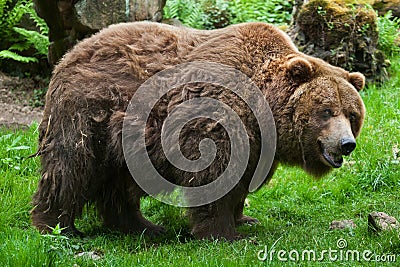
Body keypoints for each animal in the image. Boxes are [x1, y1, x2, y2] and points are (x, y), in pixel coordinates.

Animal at [32, 22, 366, 242]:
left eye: (352, 114)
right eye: (326, 111)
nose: (346, 144)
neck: (264, 105)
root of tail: (68, 53)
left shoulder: (257, 143)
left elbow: (242, 181)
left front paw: (244, 218)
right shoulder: (219, 118)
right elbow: (213, 176)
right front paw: (224, 233)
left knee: (118, 183)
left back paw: (142, 225)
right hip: (89, 111)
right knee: (71, 167)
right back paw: (57, 226)